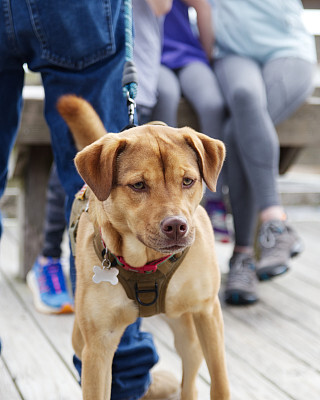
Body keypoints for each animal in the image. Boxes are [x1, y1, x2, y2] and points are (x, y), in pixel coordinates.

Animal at [56, 95, 229, 398]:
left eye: (188, 181)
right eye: (138, 185)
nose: (176, 226)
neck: (147, 262)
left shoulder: (207, 312)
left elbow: (219, 383)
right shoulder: (98, 346)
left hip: (187, 331)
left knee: (190, 376)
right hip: (81, 339)